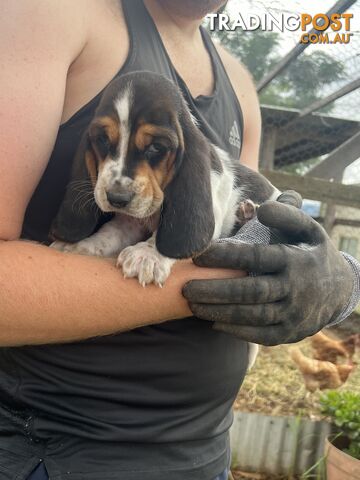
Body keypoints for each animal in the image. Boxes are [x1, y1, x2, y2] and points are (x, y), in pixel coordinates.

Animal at [51, 72, 282, 288]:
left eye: (156, 147)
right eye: (102, 140)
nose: (116, 198)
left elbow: (163, 233)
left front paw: (147, 255)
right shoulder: (129, 222)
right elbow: (107, 234)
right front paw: (78, 246)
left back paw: (250, 211)